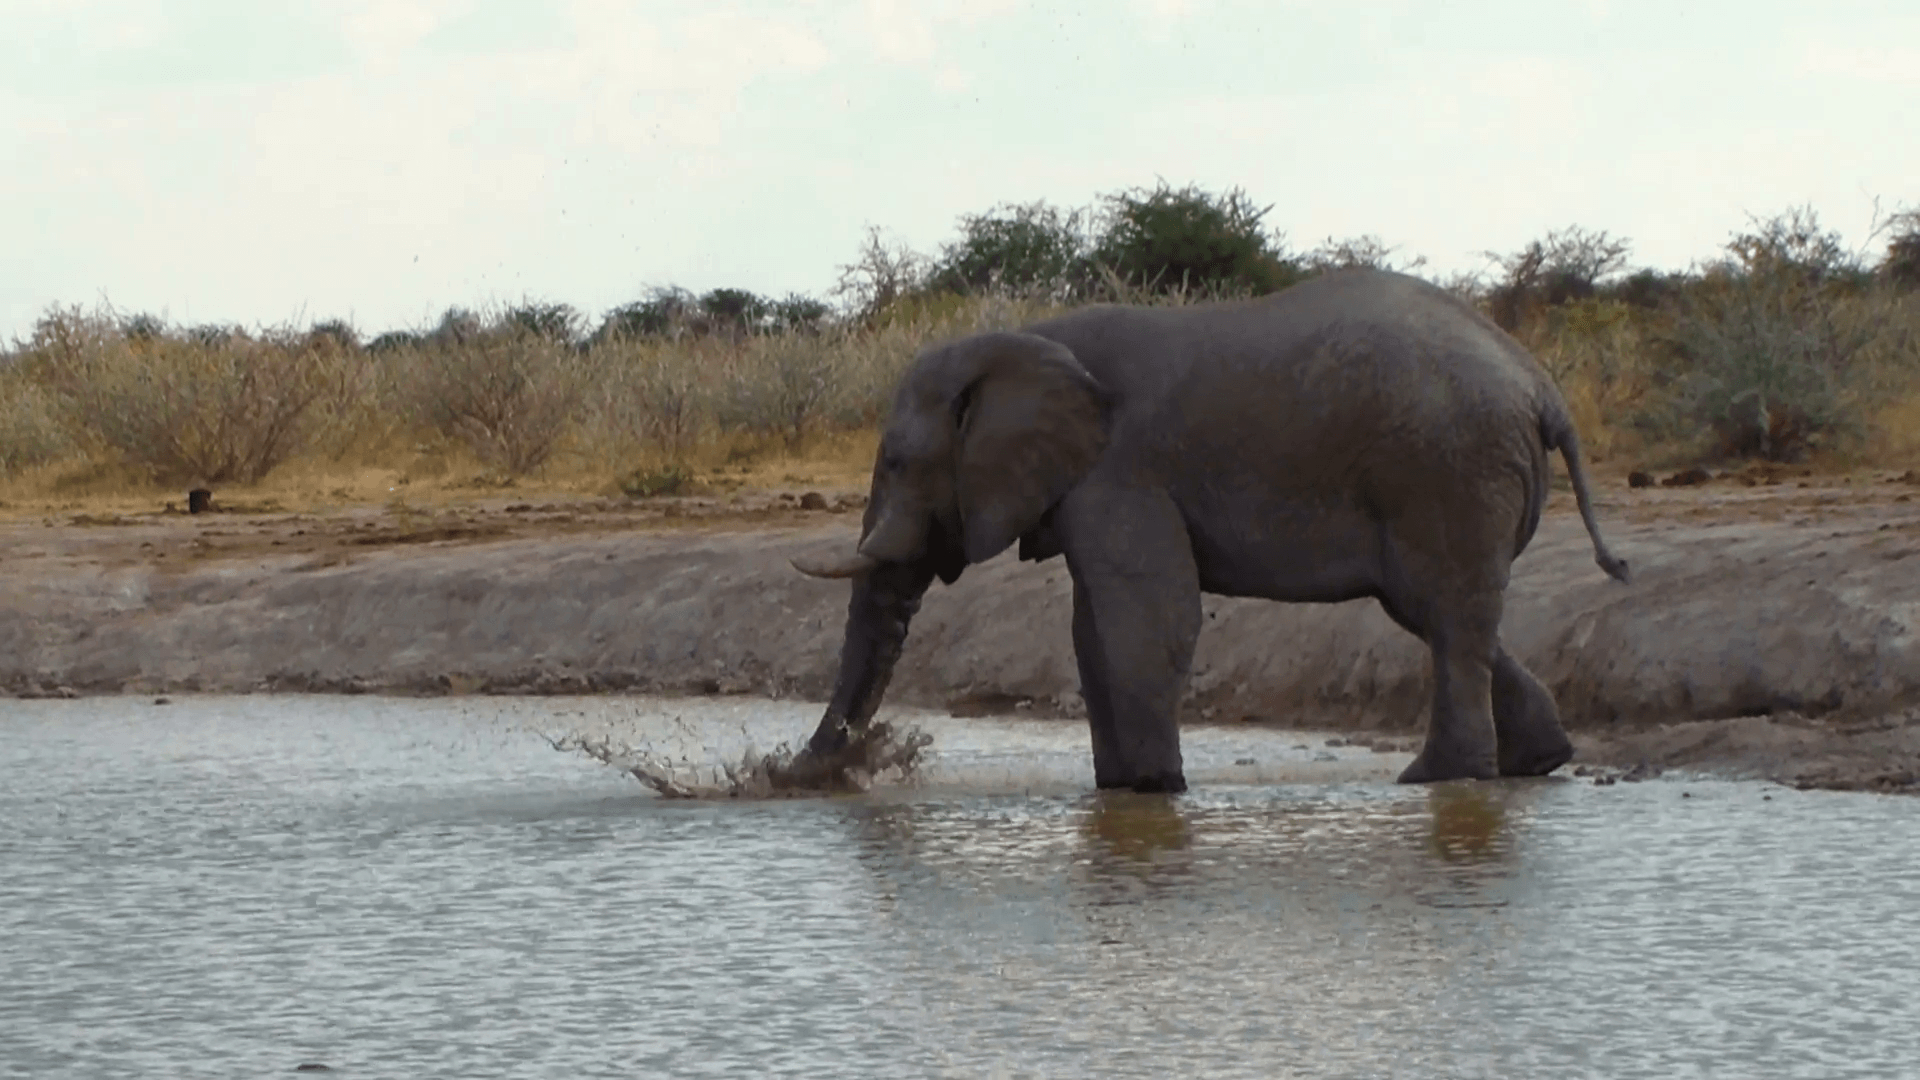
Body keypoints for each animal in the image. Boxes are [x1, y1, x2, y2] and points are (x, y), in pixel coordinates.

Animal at [787, 269, 1628, 791]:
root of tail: (1541, 386)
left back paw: (1436, 779)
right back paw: (1537, 762)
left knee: (1445, 616)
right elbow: (1093, 628)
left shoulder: (1121, 468)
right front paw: (1120, 789)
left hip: (1448, 469)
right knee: (1438, 613)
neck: (1025, 337)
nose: (793, 776)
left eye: (899, 463)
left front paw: (1153, 788)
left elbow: (1144, 614)